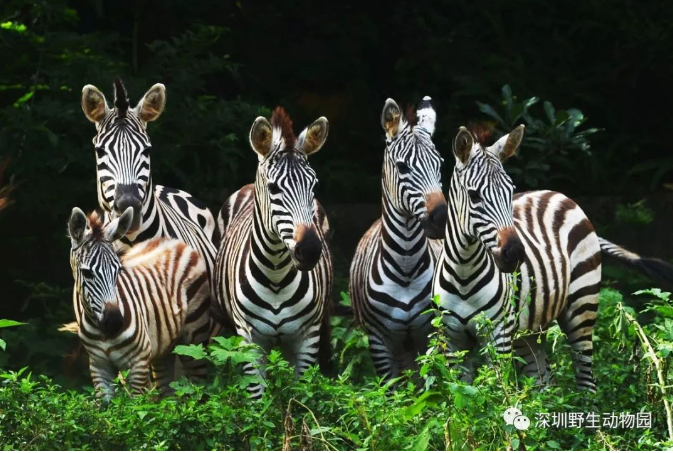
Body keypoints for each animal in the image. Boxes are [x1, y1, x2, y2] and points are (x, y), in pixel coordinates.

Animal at [68, 207, 210, 401]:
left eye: (118, 270)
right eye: (87, 273)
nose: (114, 322)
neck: (103, 333)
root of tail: (174, 242)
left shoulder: (138, 365)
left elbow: (138, 408)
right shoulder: (99, 367)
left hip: (195, 343)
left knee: (199, 388)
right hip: (164, 348)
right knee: (168, 393)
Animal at [213, 107, 333, 398]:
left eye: (314, 186)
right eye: (274, 188)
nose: (310, 250)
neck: (276, 273)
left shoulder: (308, 336)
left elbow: (300, 397)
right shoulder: (249, 338)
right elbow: (258, 400)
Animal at [349, 97, 446, 380]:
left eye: (440, 164)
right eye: (403, 167)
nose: (441, 218)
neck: (406, 267)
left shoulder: (428, 332)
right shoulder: (378, 339)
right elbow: (392, 389)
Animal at [432, 125, 604, 391]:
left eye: (510, 191)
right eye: (474, 196)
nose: (514, 254)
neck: (464, 272)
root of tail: (555, 192)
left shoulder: (499, 335)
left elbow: (495, 394)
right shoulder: (451, 341)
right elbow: (464, 396)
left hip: (582, 305)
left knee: (586, 378)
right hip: (530, 333)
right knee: (544, 383)